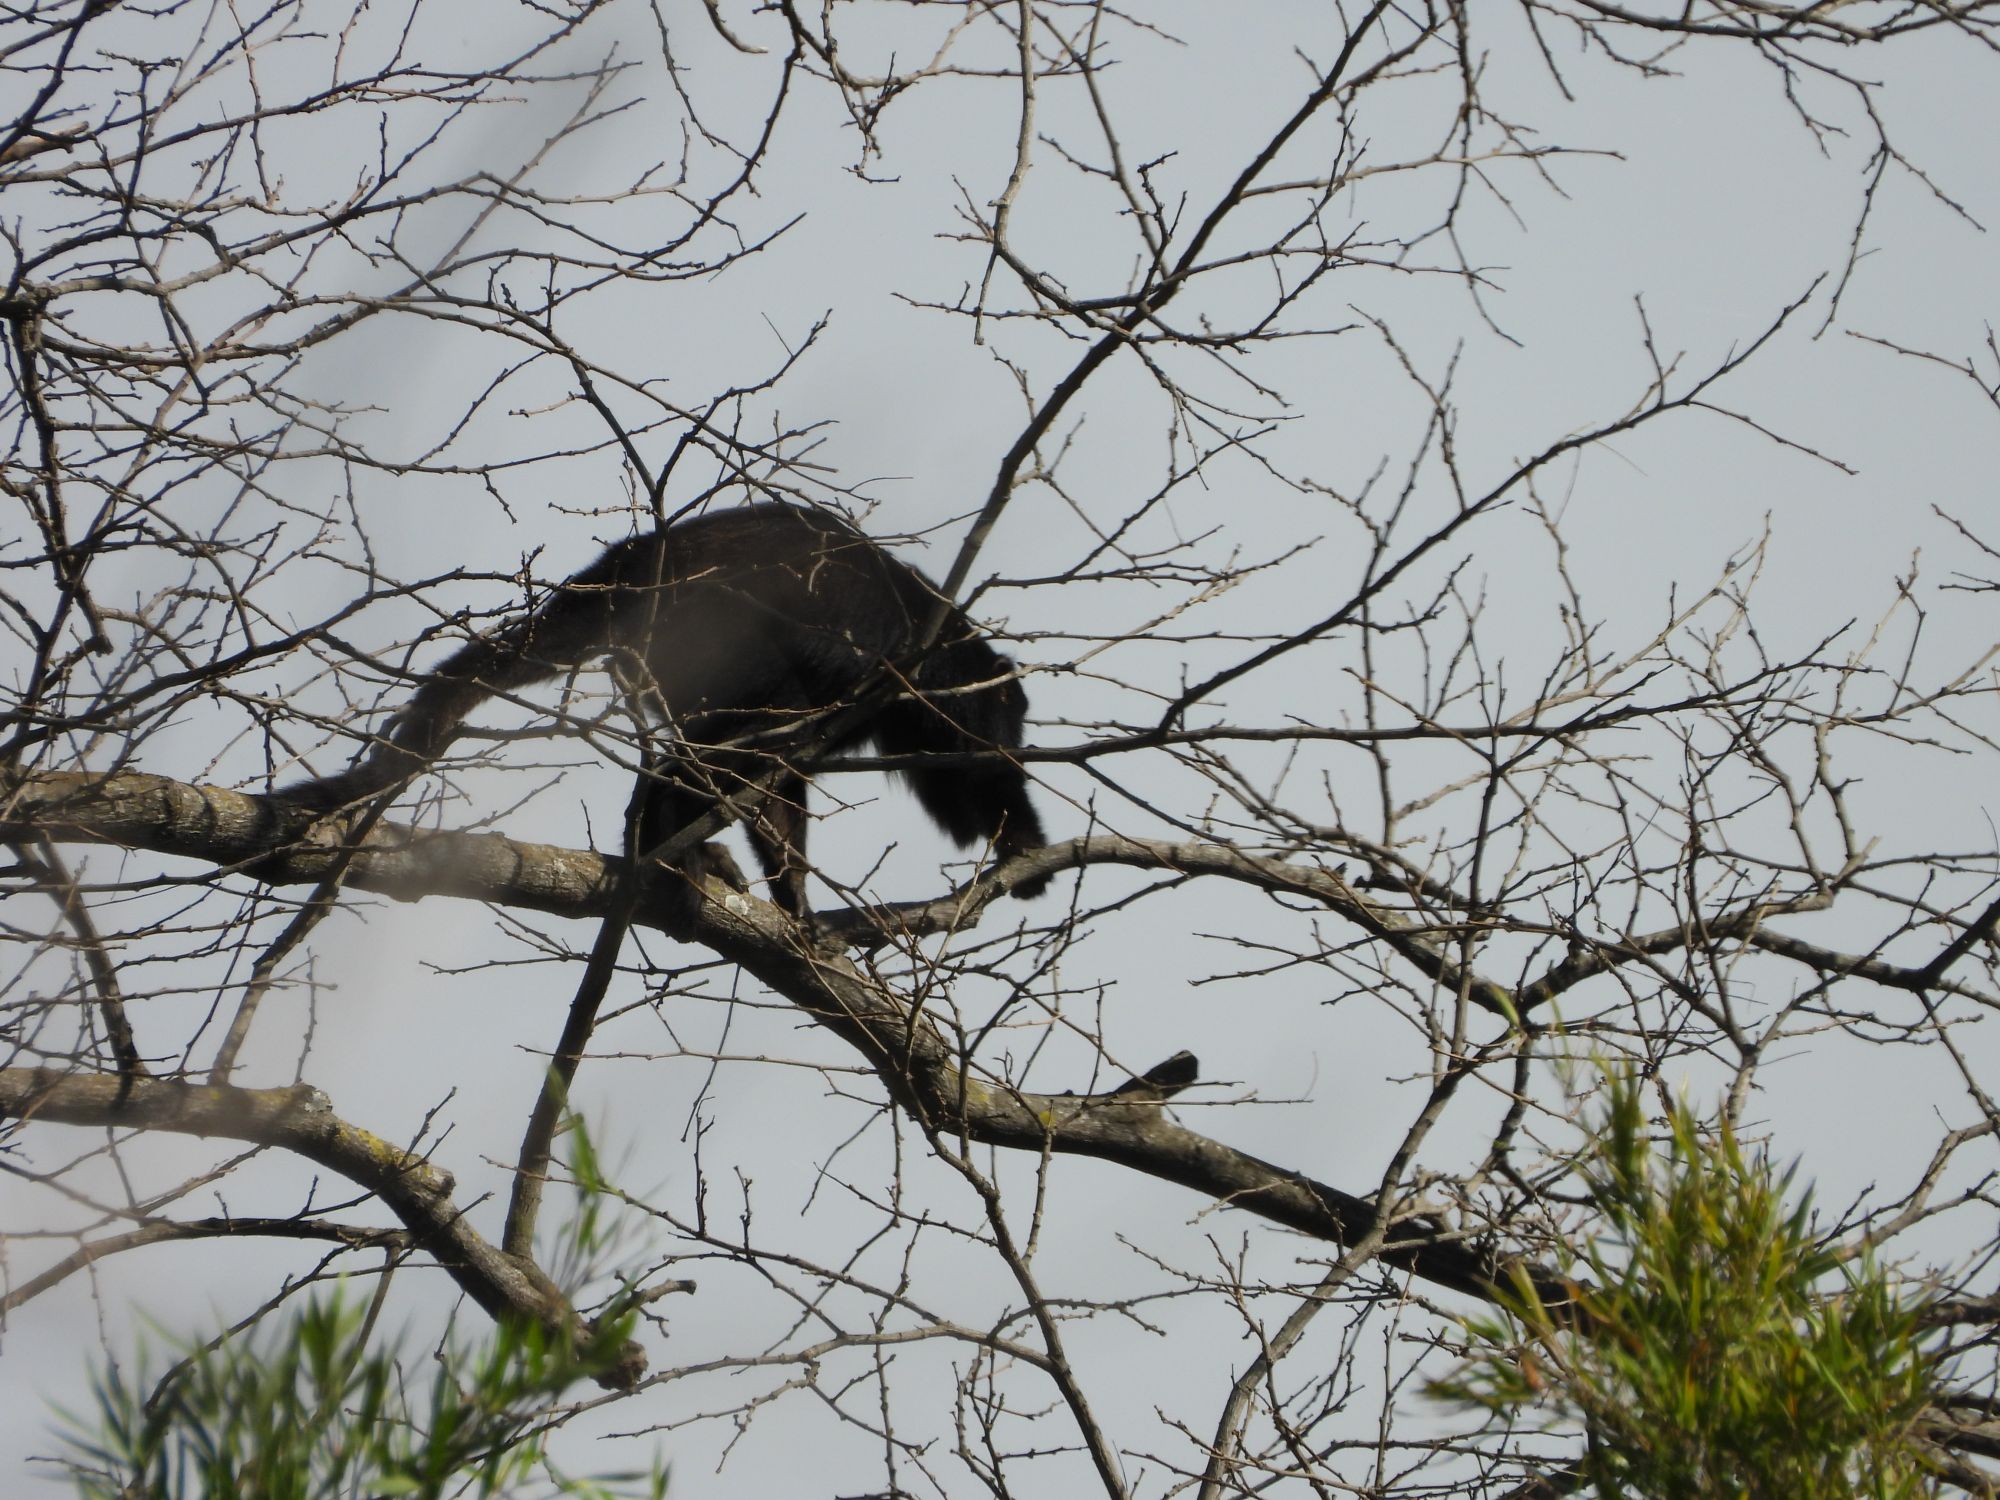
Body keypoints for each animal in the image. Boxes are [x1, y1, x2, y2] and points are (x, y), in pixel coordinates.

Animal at [277, 502, 1050, 923]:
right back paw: (670, 838)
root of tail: (641, 560)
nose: (1015, 734)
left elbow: (791, 785)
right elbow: (968, 773)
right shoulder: (906, 683)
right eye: (1009, 720)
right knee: (747, 730)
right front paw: (1023, 838)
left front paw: (798, 902)